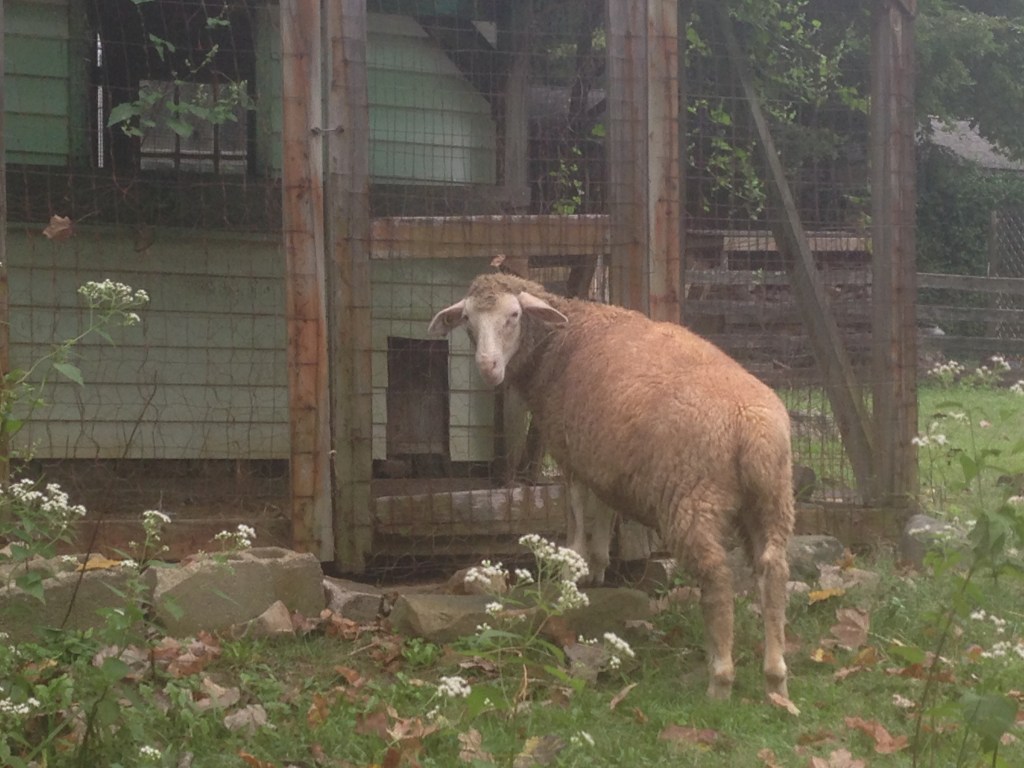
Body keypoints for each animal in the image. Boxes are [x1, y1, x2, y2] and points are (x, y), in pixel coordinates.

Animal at [428, 273, 795, 700]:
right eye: (468, 320)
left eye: (514, 315)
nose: (487, 368)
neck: (561, 339)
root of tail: (750, 428)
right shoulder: (602, 455)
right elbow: (605, 510)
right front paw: (600, 566)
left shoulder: (570, 454)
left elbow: (576, 518)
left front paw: (571, 573)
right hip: (773, 499)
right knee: (773, 571)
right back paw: (775, 680)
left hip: (693, 500)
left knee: (717, 578)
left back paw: (720, 681)